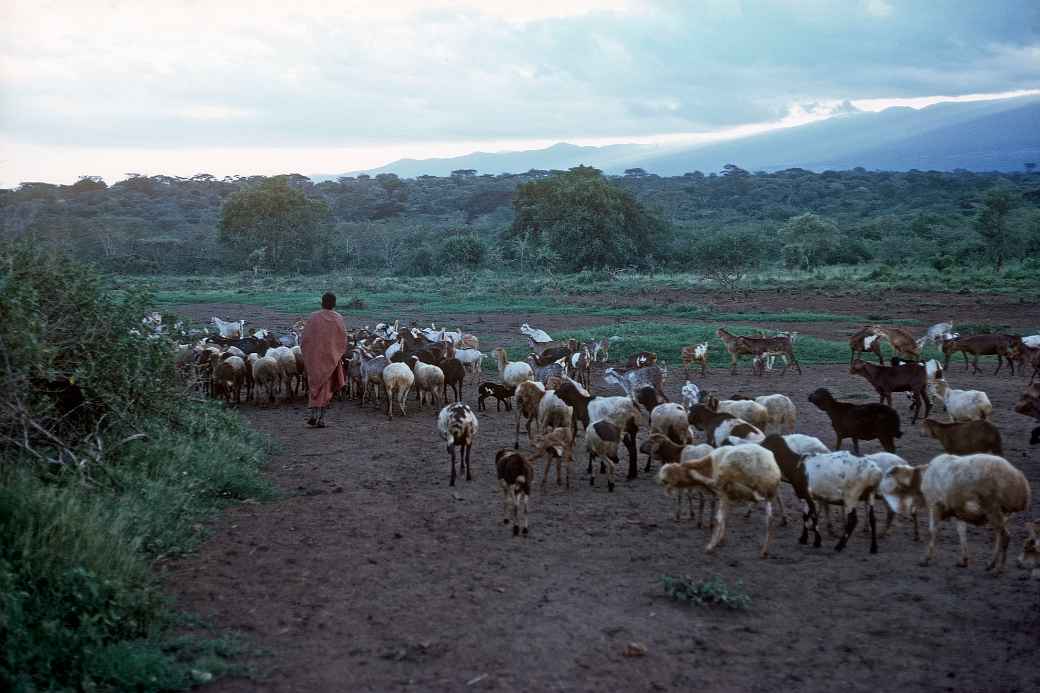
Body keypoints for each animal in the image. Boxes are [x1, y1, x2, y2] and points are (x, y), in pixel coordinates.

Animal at [877, 451, 1031, 570]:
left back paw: (998, 569)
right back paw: (991, 564)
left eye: (887, 475)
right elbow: (961, 533)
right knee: (999, 535)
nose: (877, 490)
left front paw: (926, 558)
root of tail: (1020, 483)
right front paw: (964, 560)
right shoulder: (958, 511)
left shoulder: (935, 505)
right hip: (1002, 513)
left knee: (1005, 536)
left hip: (992, 508)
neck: (920, 480)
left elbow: (933, 531)